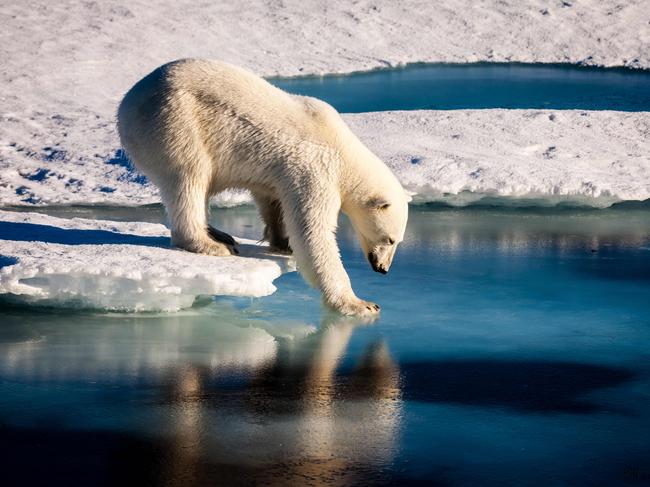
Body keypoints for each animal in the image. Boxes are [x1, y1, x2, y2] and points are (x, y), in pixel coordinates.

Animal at [119, 59, 408, 316]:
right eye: (390, 239)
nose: (383, 268)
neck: (344, 151)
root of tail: (126, 103)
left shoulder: (282, 172)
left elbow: (272, 199)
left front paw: (282, 242)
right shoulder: (315, 169)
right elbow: (313, 233)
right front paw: (360, 304)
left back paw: (219, 234)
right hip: (176, 123)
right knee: (189, 178)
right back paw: (211, 244)